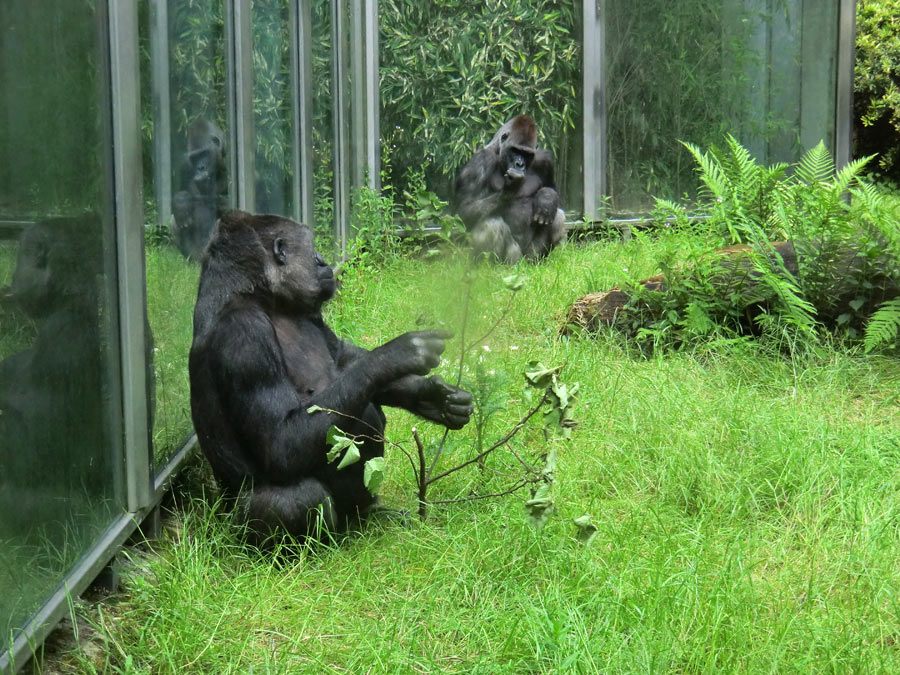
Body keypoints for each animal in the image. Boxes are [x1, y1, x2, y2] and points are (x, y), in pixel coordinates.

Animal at [173, 118, 229, 258]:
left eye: (204, 153)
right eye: (194, 158)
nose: (200, 168)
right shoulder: (185, 163)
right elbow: (182, 193)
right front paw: (180, 201)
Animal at [187, 211, 474, 544]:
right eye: (311, 249)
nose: (322, 260)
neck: (258, 296)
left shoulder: (312, 314)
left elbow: (345, 358)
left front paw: (433, 397)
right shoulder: (244, 335)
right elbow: (280, 442)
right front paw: (398, 353)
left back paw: (373, 514)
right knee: (294, 499)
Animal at [454, 115, 568, 262]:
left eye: (527, 154)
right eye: (515, 150)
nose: (519, 164)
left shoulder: (545, 160)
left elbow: (552, 189)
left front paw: (547, 198)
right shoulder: (480, 161)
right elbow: (464, 211)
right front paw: (509, 189)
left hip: (528, 257)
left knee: (558, 215)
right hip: (512, 259)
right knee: (490, 223)